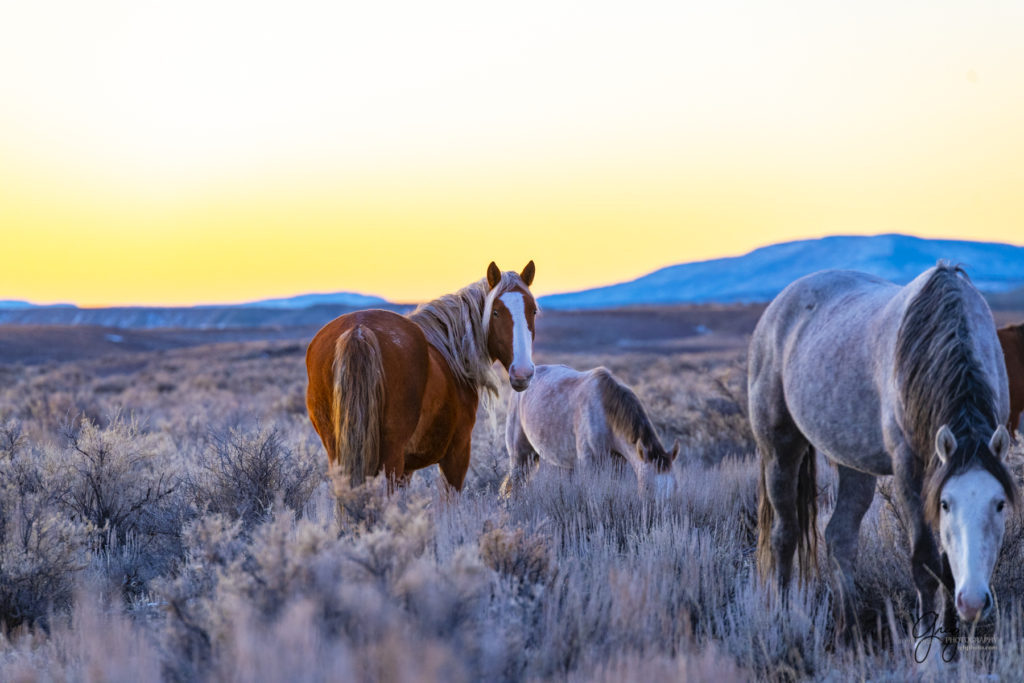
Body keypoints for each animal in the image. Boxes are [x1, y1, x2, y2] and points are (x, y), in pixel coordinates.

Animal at [497, 368, 675, 497]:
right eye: (648, 487)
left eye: (674, 487)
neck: (605, 412)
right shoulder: (589, 464)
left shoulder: (618, 463)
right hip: (519, 456)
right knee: (514, 484)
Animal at [749, 264, 1019, 643]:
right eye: (946, 504)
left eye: (999, 504)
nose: (973, 602)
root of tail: (777, 307)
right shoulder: (911, 472)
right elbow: (924, 562)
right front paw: (928, 648)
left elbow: (946, 567)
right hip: (780, 451)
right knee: (784, 536)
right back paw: (784, 620)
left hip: (854, 466)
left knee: (840, 538)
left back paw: (848, 630)